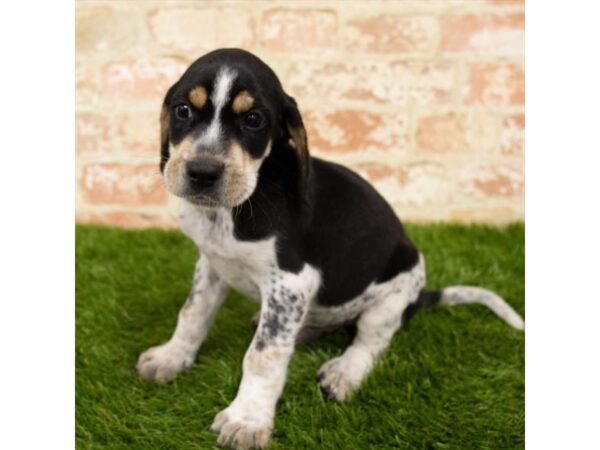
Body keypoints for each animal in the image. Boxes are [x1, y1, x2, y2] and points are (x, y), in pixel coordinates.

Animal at [137, 49, 524, 450]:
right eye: (183, 110)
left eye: (253, 120)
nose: (202, 172)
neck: (233, 210)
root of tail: (420, 298)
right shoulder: (212, 264)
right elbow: (192, 314)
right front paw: (172, 357)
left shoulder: (292, 283)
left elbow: (263, 355)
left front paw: (247, 419)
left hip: (392, 297)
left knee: (369, 343)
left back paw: (344, 372)